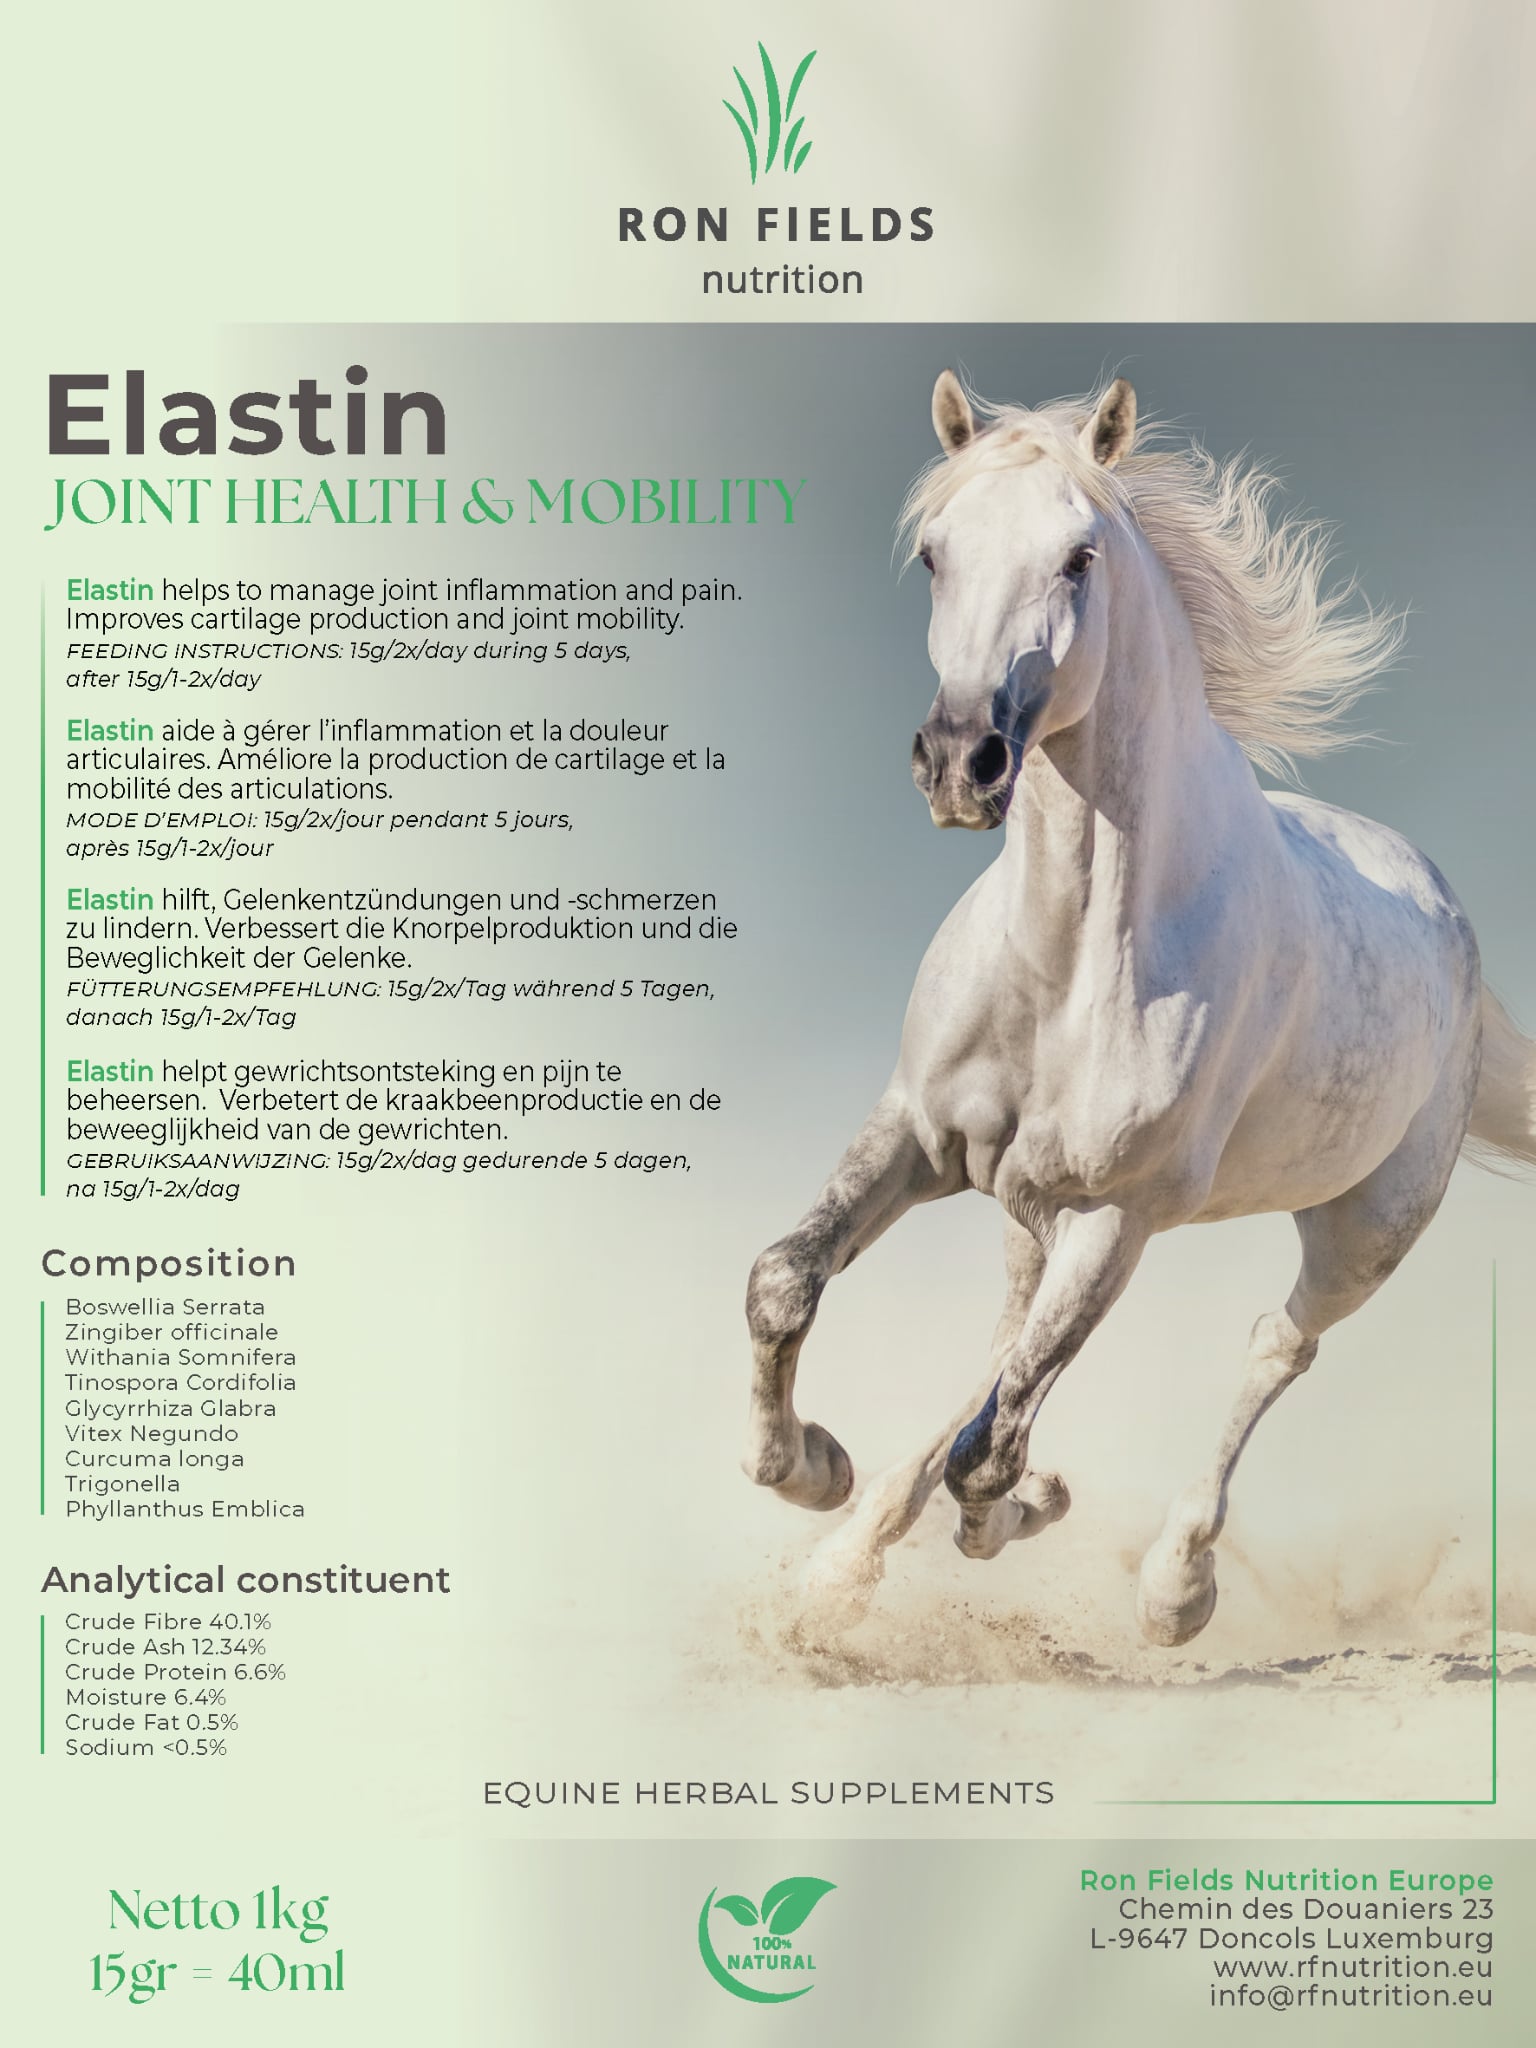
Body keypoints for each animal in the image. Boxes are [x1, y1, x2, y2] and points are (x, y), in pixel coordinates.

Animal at [742, 370, 1535, 1646]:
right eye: (933, 551)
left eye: (1079, 557)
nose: (961, 759)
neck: (1069, 959)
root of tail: (1443, 906)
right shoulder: (917, 1132)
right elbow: (787, 1282)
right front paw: (814, 1468)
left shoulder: (1119, 1213)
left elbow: (993, 1445)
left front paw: (1008, 1513)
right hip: (1030, 1205)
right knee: (1006, 1342)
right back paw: (847, 1559)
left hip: (1363, 1228)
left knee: (1274, 1346)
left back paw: (1175, 1586)